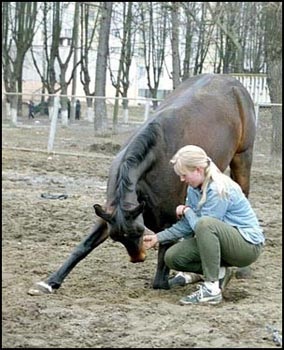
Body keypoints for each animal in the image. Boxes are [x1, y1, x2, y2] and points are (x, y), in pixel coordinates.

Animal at [28, 74, 255, 296]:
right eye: (116, 238)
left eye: (139, 231)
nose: (138, 258)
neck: (158, 154)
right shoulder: (109, 214)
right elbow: (84, 246)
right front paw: (50, 282)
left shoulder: (169, 219)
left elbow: (161, 277)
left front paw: (184, 277)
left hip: (242, 158)